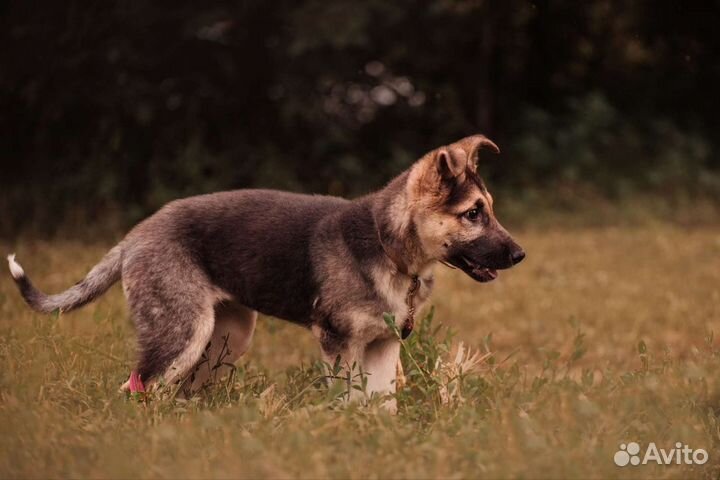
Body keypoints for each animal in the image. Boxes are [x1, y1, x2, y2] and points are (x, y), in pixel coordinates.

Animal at [5, 135, 524, 408]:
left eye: (489, 209)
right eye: (474, 214)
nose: (519, 255)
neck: (388, 245)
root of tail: (134, 237)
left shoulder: (382, 345)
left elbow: (381, 405)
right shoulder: (339, 345)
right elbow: (348, 400)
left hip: (225, 339)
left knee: (180, 393)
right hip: (182, 334)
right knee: (136, 388)